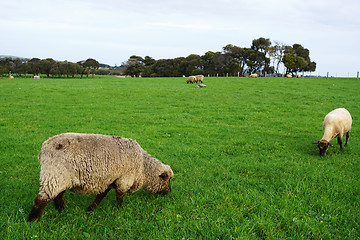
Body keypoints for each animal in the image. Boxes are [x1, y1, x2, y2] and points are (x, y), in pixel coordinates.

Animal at [27, 133, 174, 221]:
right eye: (167, 179)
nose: (169, 192)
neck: (143, 167)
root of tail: (44, 147)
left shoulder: (109, 180)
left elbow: (101, 195)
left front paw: (91, 209)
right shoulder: (124, 180)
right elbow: (120, 196)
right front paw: (119, 210)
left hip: (61, 178)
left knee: (57, 196)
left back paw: (61, 210)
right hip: (54, 175)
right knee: (41, 199)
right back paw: (33, 221)